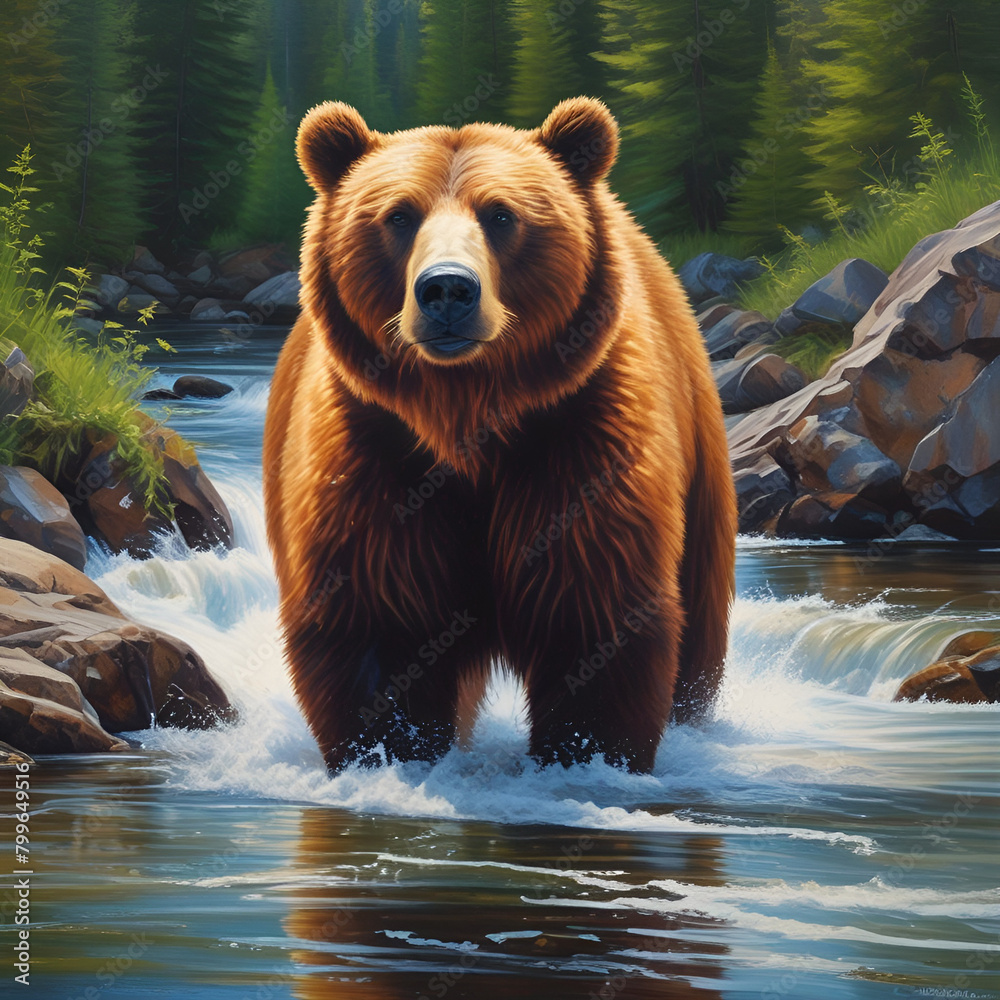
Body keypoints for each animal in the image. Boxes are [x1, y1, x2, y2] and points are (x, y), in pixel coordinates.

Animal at [263, 96, 737, 774]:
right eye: (399, 215)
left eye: (502, 214)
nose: (447, 289)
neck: (467, 417)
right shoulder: (369, 449)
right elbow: (374, 622)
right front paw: (390, 753)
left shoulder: (581, 440)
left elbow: (595, 615)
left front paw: (586, 755)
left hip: (698, 454)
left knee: (699, 618)